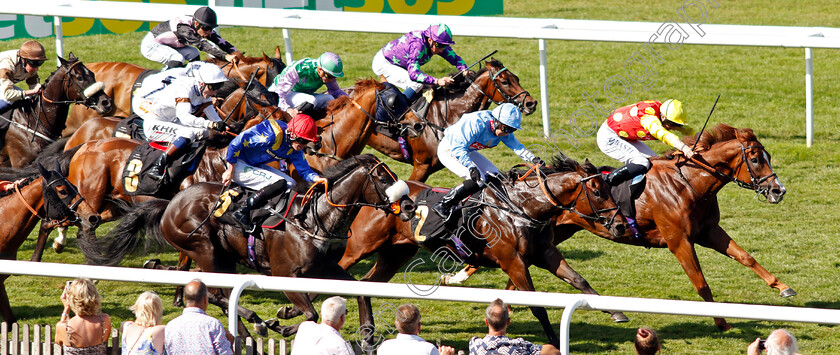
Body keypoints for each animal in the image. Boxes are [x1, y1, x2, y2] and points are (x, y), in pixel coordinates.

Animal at [80, 155, 416, 340]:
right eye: (383, 177)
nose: (411, 205)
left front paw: (368, 331)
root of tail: (169, 204)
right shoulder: (284, 274)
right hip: (206, 249)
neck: (314, 220)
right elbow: (310, 314)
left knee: (219, 294)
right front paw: (282, 325)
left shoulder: (326, 268)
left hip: (222, 256)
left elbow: (360, 291)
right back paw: (256, 322)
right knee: (219, 293)